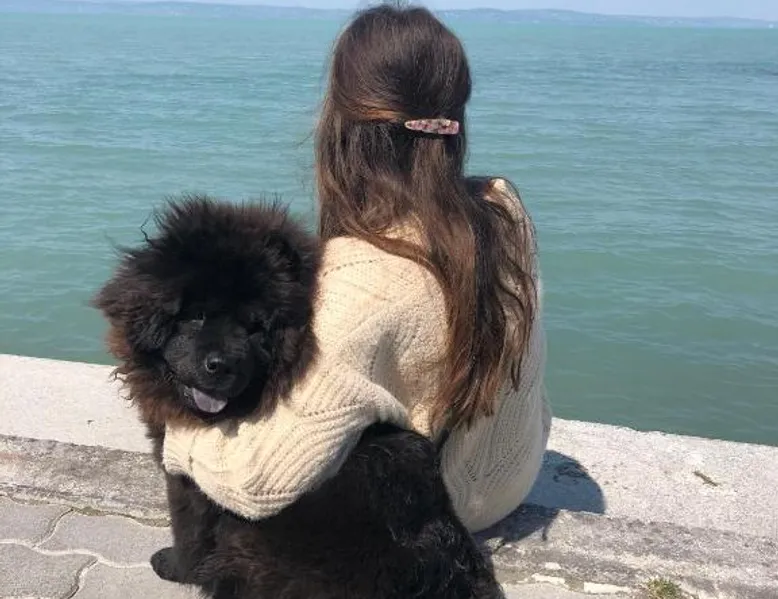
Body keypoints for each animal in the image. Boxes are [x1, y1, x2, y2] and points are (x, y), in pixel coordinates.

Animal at [93, 195, 503, 599]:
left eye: (254, 327)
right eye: (197, 316)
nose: (221, 365)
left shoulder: (190, 482)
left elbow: (188, 534)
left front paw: (170, 565)